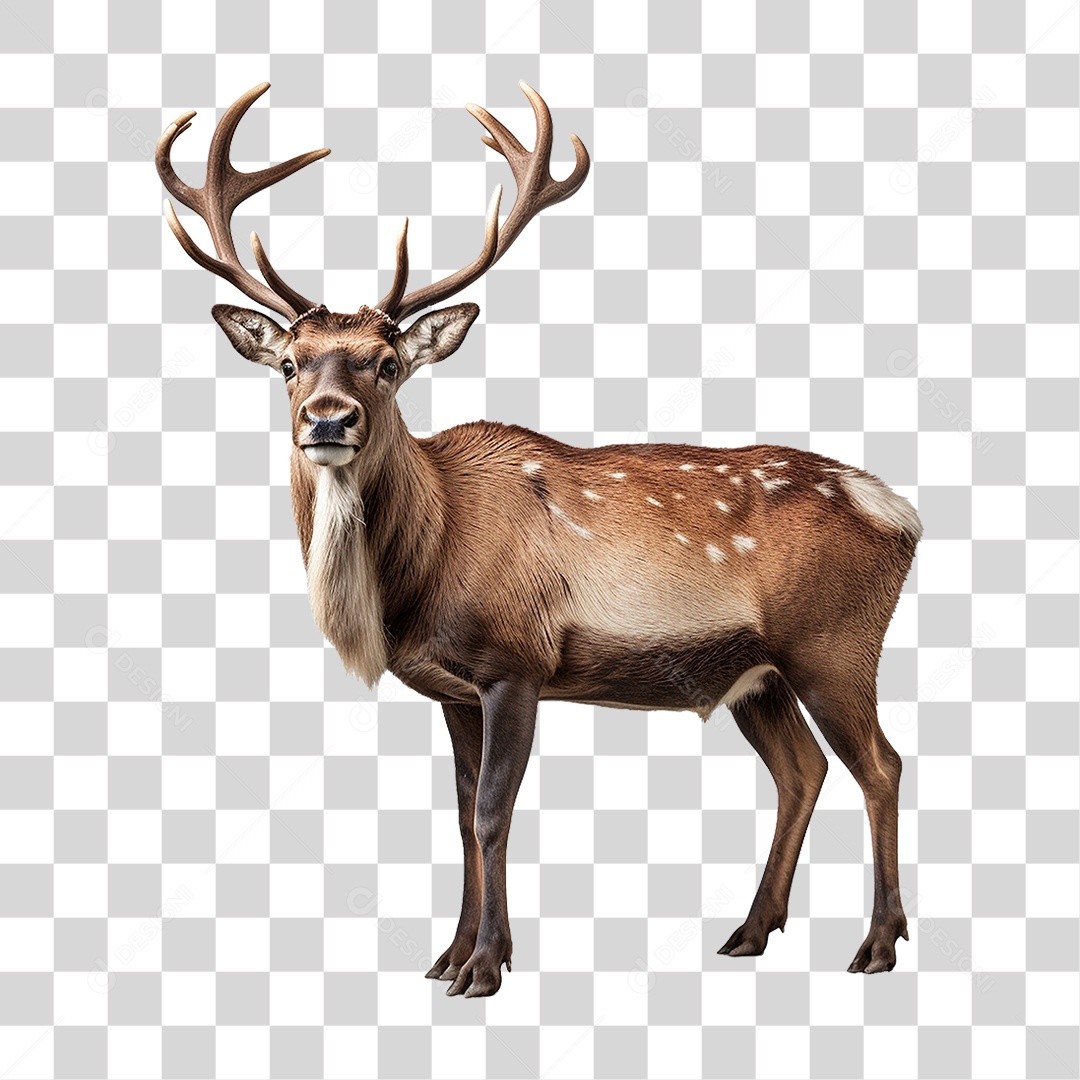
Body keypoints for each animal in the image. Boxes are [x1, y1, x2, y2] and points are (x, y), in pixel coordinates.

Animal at [157, 82, 922, 997]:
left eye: (386, 363)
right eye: (289, 363)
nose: (328, 420)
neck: (421, 572)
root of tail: (902, 514)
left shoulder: (515, 661)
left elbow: (493, 813)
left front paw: (485, 967)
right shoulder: (451, 688)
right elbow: (459, 814)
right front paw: (448, 954)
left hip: (835, 643)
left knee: (882, 765)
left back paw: (877, 944)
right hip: (759, 674)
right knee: (802, 769)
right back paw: (749, 931)